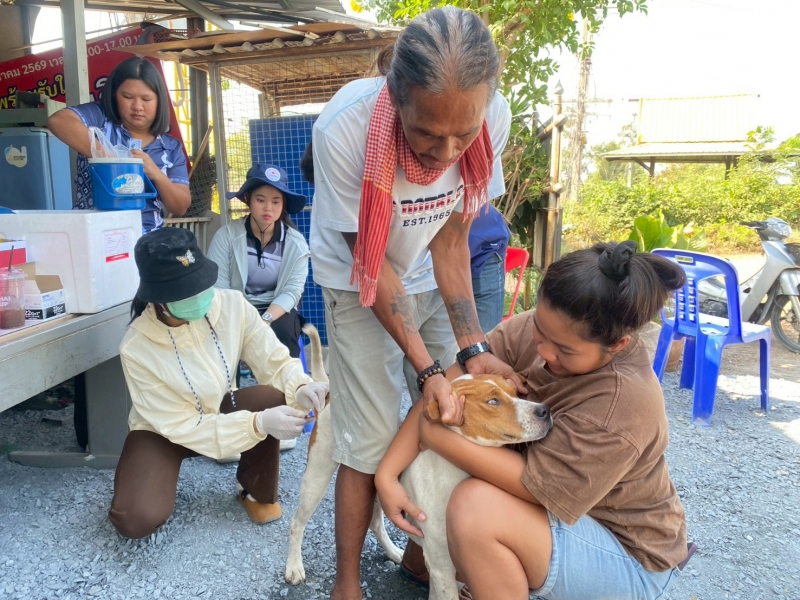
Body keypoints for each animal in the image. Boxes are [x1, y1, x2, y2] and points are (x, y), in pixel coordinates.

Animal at [284, 325, 404, 585]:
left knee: (375, 523)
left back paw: (392, 551)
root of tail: (330, 396)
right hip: (317, 478)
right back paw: (294, 566)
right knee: (297, 523)